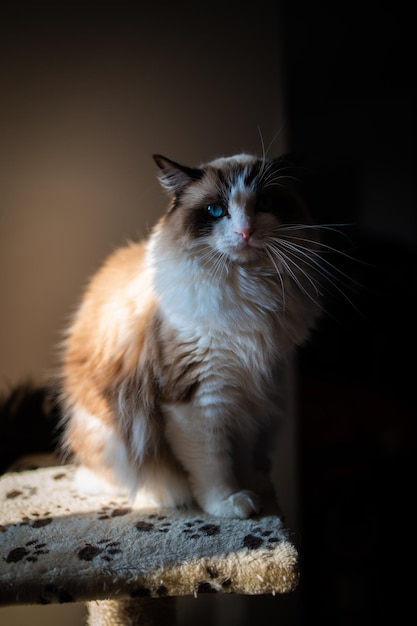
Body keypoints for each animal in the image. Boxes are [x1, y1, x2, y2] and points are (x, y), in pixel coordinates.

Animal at [56, 151, 322, 516]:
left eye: (264, 203)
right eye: (216, 211)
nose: (245, 231)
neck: (248, 289)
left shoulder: (250, 389)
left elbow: (240, 452)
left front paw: (256, 491)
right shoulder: (198, 397)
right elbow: (213, 463)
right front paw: (231, 504)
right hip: (107, 433)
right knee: (111, 479)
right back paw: (156, 497)